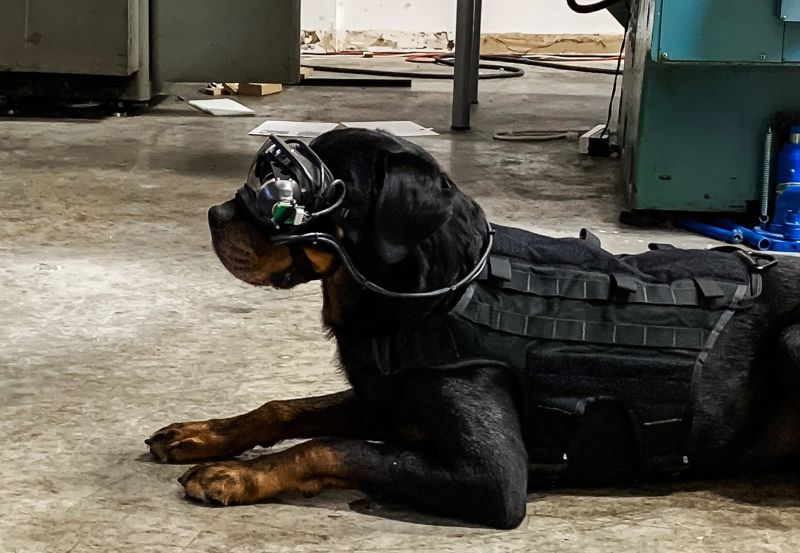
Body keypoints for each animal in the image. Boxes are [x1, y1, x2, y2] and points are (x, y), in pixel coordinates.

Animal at [148, 128, 800, 528]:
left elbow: (333, 446)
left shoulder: (494, 479)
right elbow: (286, 409)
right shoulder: (384, 397)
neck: (433, 295)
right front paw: (204, 434)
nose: (214, 215)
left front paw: (238, 475)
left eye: (287, 193)